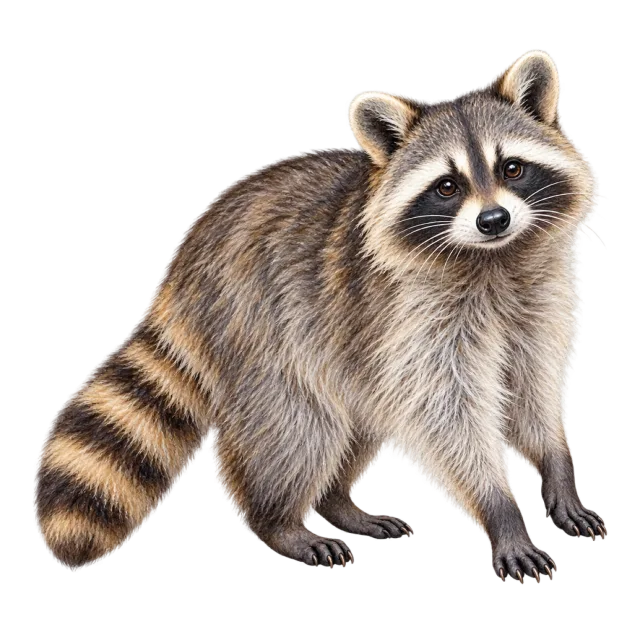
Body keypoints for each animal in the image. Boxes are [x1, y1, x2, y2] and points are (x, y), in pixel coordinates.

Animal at [34, 49, 607, 581]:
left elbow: (534, 384)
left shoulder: (536, 300)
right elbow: (447, 413)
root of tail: (184, 265)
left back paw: (336, 501)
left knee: (354, 418)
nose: (494, 220)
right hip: (259, 328)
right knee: (298, 427)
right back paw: (279, 523)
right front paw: (500, 510)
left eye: (512, 168)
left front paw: (557, 468)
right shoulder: (414, 314)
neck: (495, 258)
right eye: (448, 186)